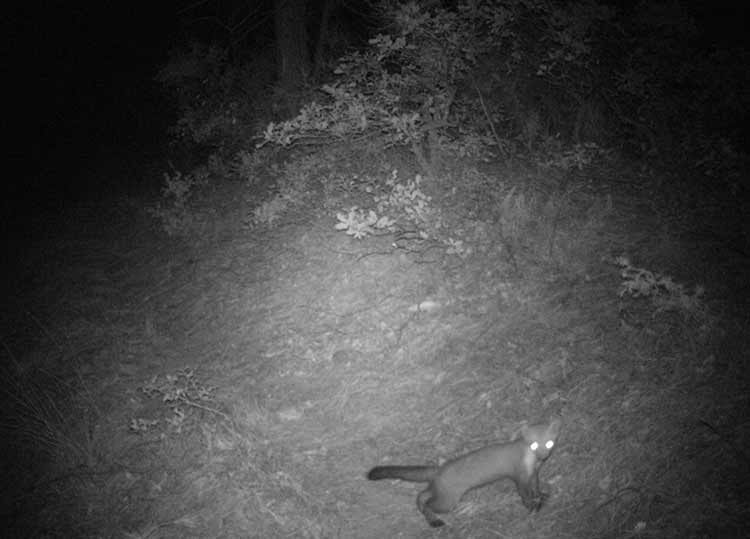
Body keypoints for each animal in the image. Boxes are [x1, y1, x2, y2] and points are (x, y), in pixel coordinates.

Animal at [368, 418, 560, 528]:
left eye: (549, 442)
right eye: (533, 444)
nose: (544, 455)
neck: (533, 463)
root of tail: (439, 469)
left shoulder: (533, 474)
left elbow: (535, 488)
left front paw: (542, 497)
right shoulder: (519, 476)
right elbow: (524, 494)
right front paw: (533, 507)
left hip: (438, 490)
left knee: (421, 496)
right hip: (448, 499)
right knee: (428, 502)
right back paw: (436, 521)